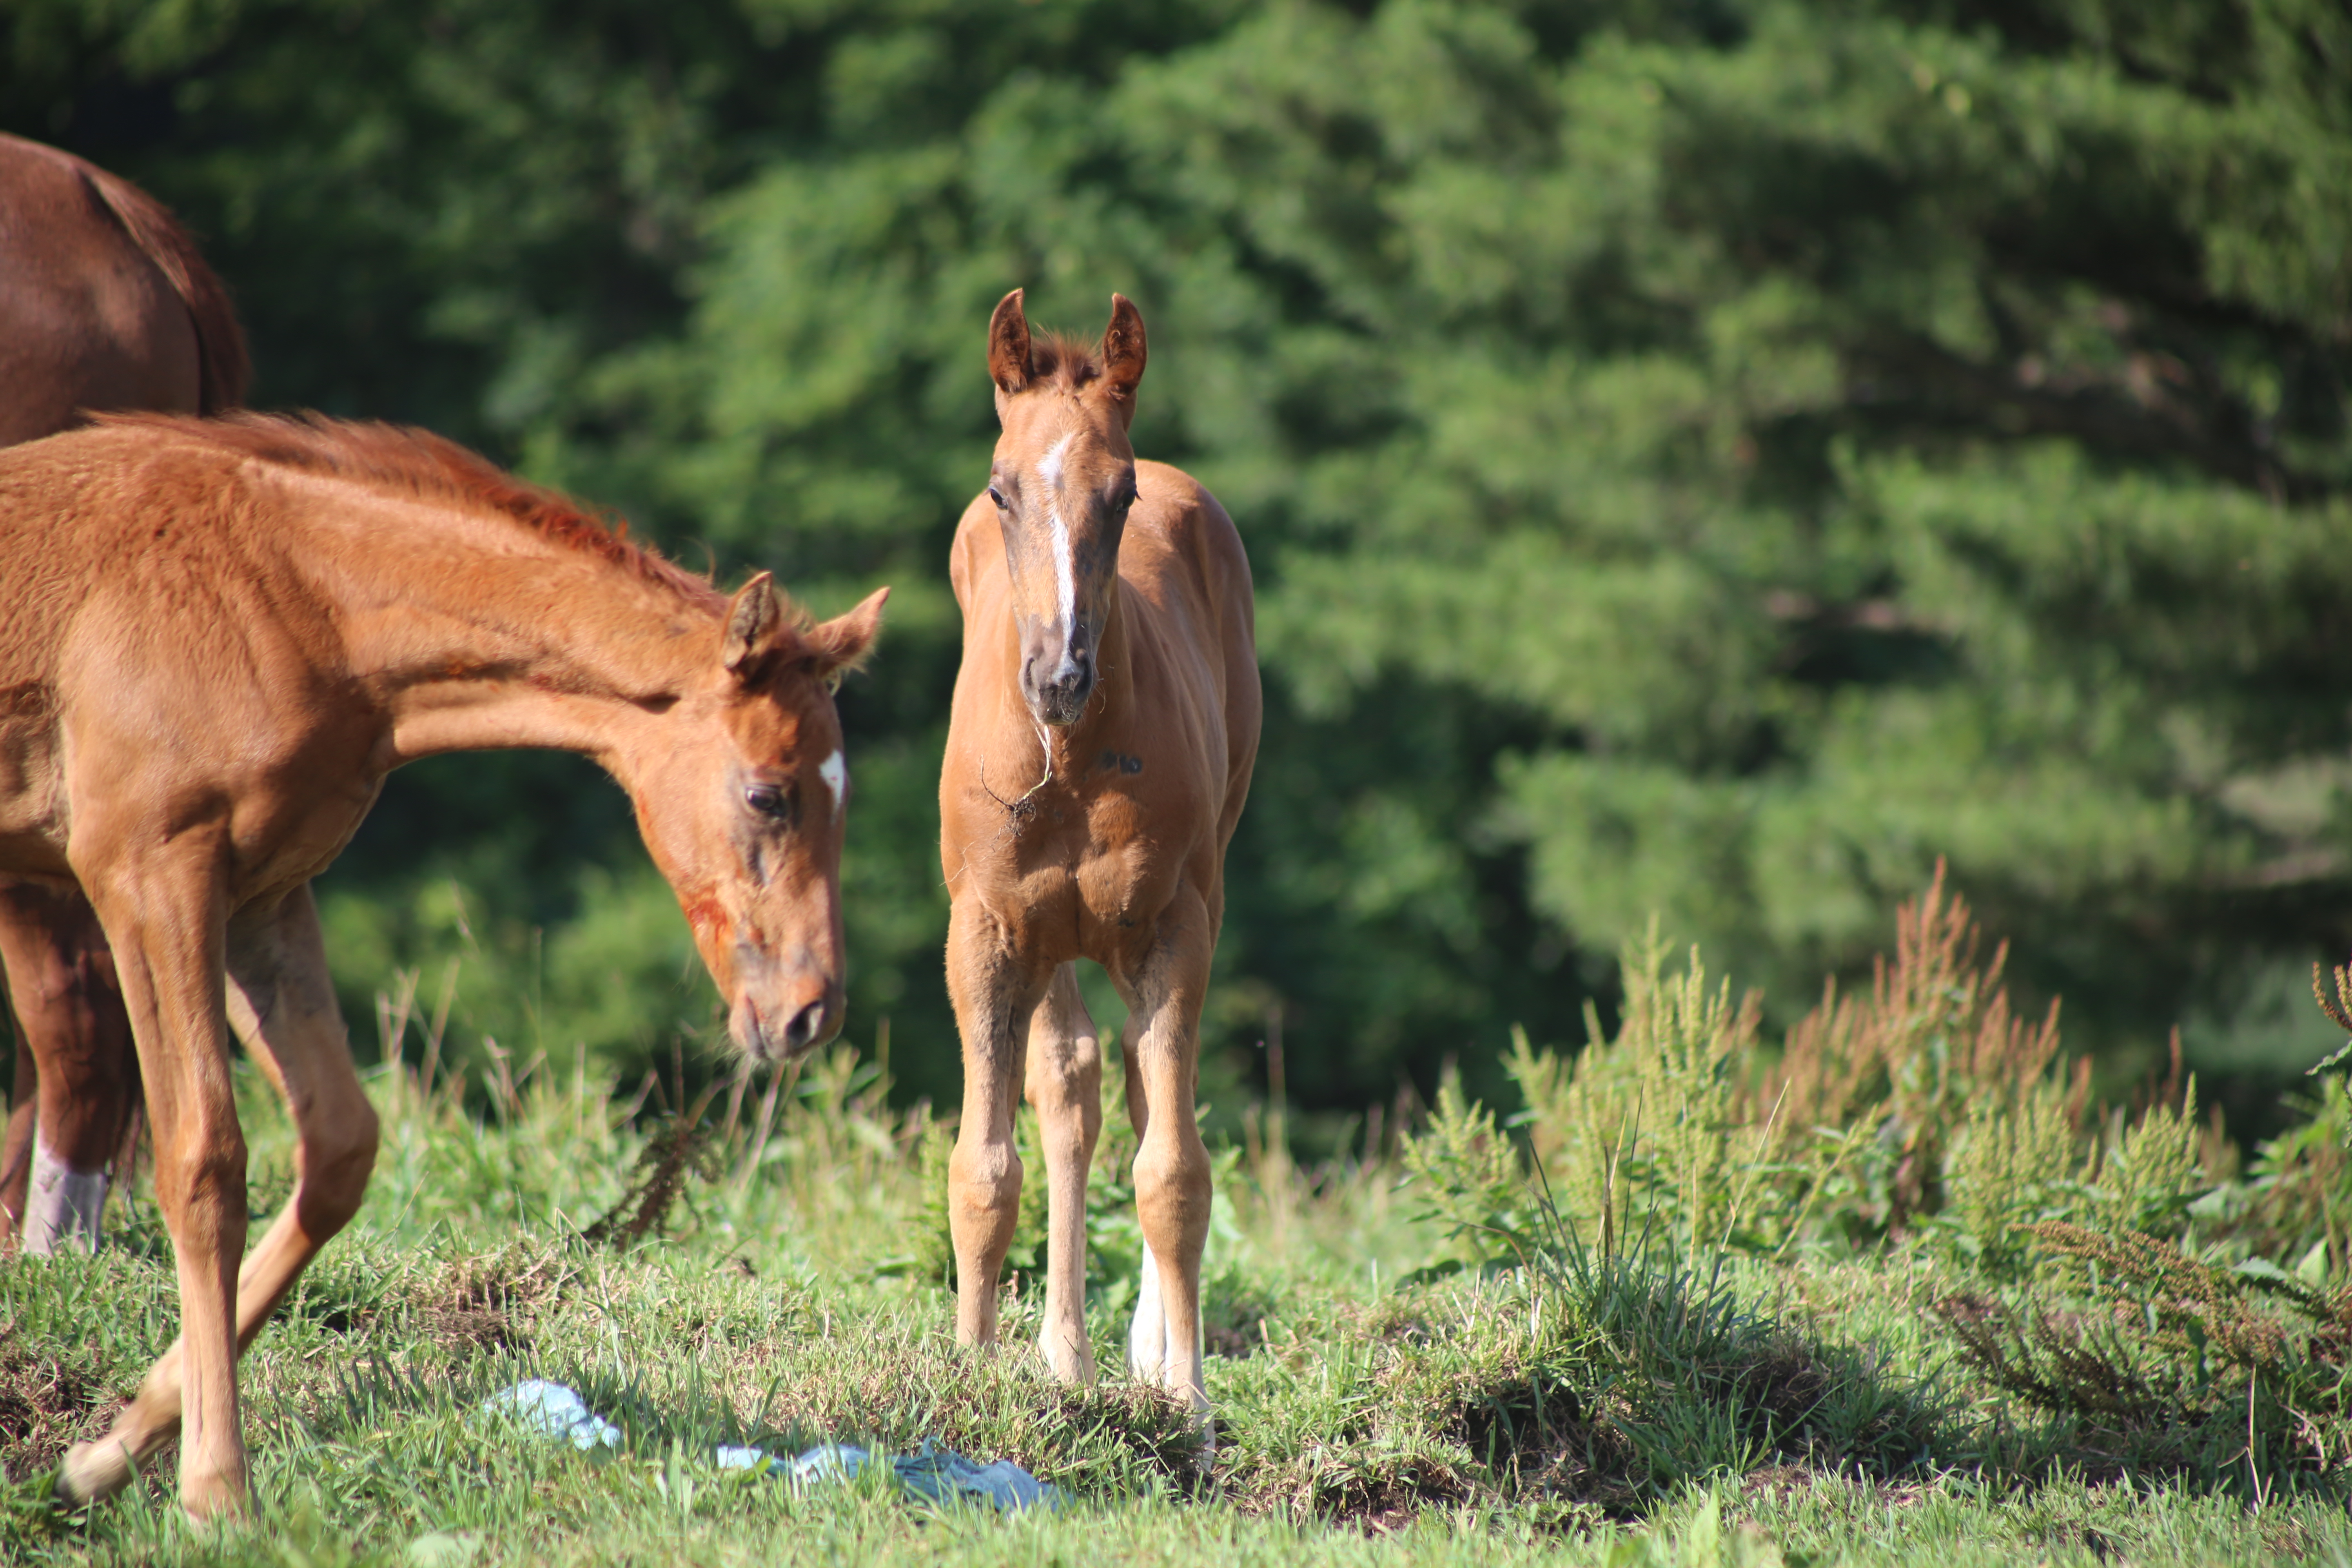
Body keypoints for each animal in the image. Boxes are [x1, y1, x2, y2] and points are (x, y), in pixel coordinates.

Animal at [0, 411, 884, 1514]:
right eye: (768, 794)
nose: (810, 1012)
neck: (293, 600)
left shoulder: (260, 894)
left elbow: (341, 1145)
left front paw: (114, 1447)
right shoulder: (147, 873)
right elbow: (204, 1159)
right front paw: (217, 1490)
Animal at [941, 294, 1261, 1439]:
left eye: (1119, 497)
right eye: (1000, 488)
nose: (1059, 675)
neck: (1073, 761)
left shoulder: (1172, 927)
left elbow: (1172, 1172)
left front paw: (1189, 1396)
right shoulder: (987, 932)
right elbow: (985, 1169)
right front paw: (970, 1368)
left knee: (1129, 1087)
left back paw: (1137, 1355)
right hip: (1051, 940)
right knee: (1071, 1086)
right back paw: (1063, 1356)